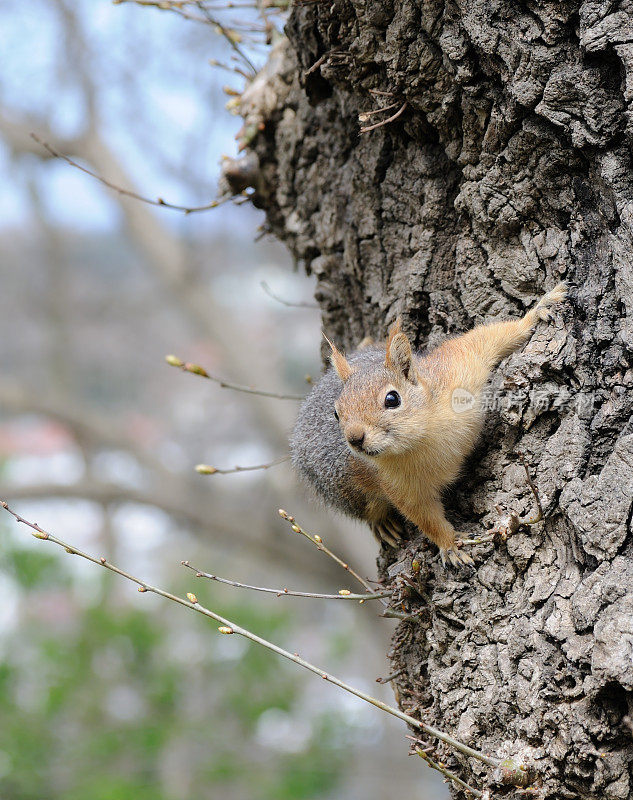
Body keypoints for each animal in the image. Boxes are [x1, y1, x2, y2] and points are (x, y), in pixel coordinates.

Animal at [288, 284, 564, 564]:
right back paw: (383, 524)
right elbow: (425, 518)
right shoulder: (400, 486)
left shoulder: (458, 368)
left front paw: (538, 310)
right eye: (336, 413)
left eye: (392, 399)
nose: (355, 438)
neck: (425, 434)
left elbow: (484, 340)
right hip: (344, 491)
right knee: (369, 510)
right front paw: (450, 544)